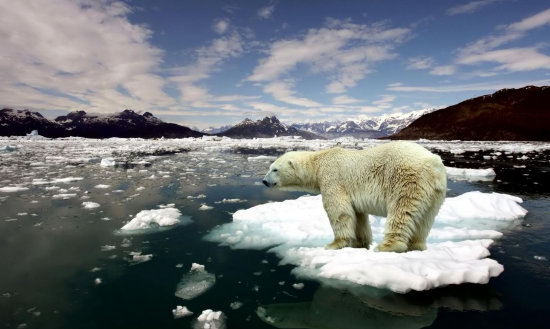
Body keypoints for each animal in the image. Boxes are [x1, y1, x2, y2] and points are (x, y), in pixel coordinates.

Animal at [264, 141, 448, 251]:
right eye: (270, 167)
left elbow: (338, 211)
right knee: (425, 219)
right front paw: (360, 243)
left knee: (401, 211)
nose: (264, 181)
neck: (319, 163)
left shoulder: (333, 179)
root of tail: (433, 163)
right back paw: (417, 246)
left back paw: (387, 246)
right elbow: (358, 216)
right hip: (435, 193)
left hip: (406, 180)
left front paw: (334, 244)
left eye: (275, 169)